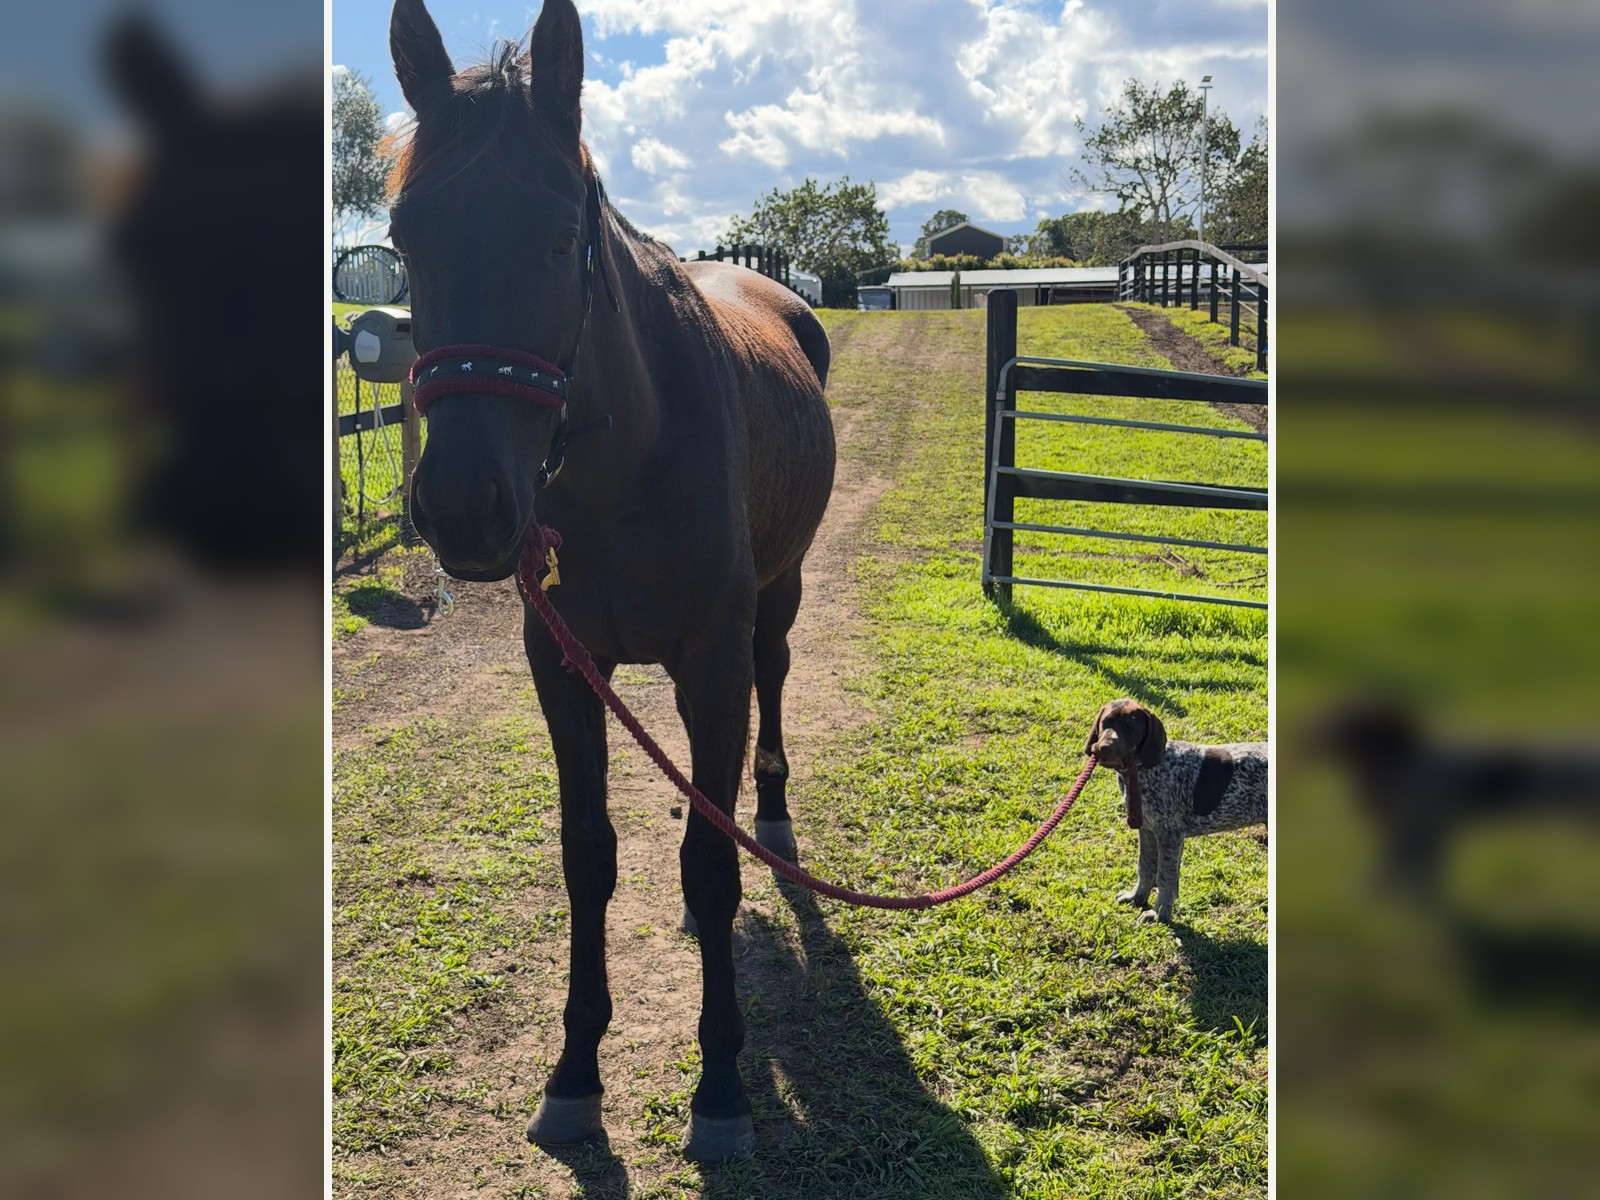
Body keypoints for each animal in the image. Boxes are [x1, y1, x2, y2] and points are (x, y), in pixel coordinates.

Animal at [388, 0, 836, 1162]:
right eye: (404, 237)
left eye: (559, 238)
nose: (462, 506)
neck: (625, 459)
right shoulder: (562, 665)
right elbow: (588, 855)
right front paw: (574, 1074)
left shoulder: (713, 666)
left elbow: (710, 863)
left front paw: (720, 1087)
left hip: (777, 601)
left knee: (773, 691)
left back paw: (770, 817)